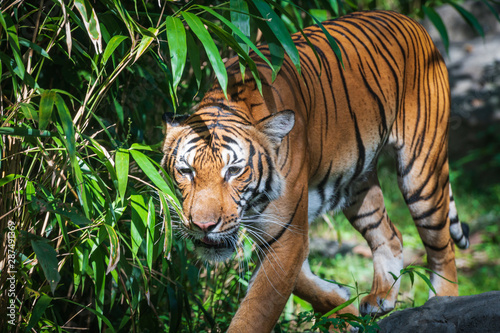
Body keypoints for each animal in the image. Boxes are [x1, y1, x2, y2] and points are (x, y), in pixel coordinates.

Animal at [162, 10, 470, 332]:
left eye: (234, 171)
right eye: (186, 171)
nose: (203, 226)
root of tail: (410, 21)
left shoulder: (287, 232)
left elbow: (258, 309)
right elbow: (300, 280)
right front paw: (342, 306)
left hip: (422, 172)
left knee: (442, 246)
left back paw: (443, 300)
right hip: (357, 187)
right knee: (390, 235)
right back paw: (381, 298)